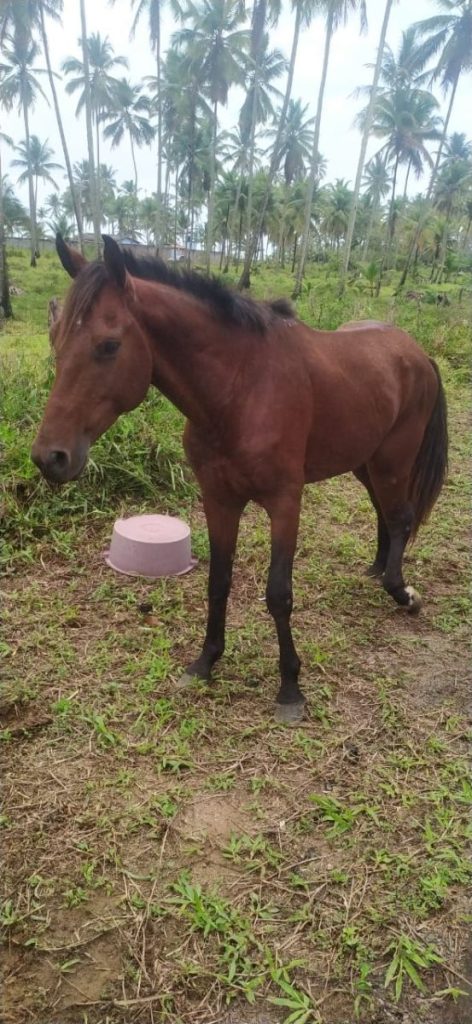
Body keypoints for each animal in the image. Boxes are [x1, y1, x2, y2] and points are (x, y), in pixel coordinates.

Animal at [31, 235, 446, 724]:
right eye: (55, 338)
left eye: (109, 345)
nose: (50, 457)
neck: (241, 389)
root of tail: (414, 351)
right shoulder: (219, 499)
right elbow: (218, 581)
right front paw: (206, 661)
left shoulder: (285, 502)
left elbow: (278, 594)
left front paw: (290, 687)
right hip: (366, 461)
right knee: (385, 512)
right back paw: (379, 569)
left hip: (392, 460)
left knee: (400, 517)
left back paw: (401, 591)